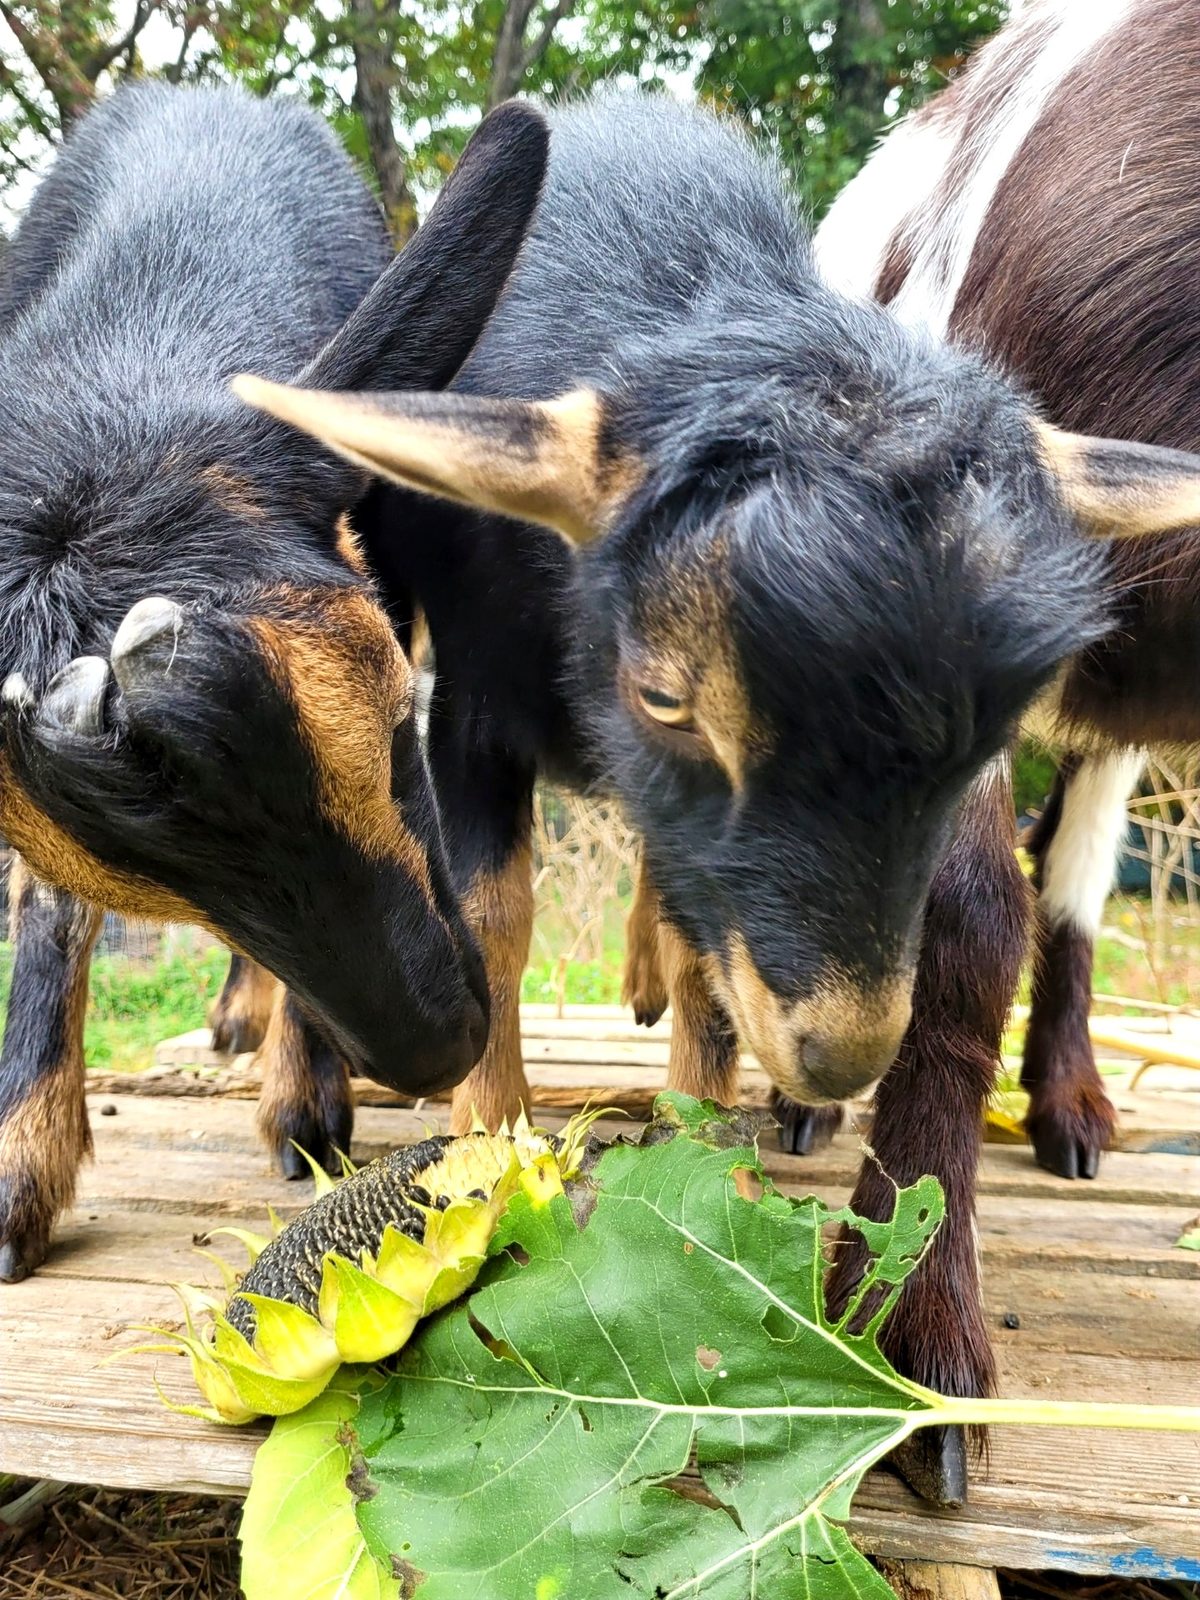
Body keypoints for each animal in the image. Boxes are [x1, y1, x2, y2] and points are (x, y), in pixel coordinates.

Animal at [0, 82, 549, 1280]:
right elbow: (44, 913)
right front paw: (20, 1162)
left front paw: (304, 1110)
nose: (436, 1047)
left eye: (398, 724)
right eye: (156, 887)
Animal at [238, 89, 1200, 1506]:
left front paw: (707, 1130)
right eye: (665, 692)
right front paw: (490, 1140)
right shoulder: (474, 699)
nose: (843, 1048)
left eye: (988, 733)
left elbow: (714, 950)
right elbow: (498, 914)